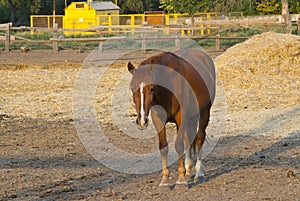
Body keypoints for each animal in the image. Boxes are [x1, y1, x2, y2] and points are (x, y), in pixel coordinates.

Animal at [127, 48, 216, 187]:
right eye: (132, 88)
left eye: (152, 88)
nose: (141, 121)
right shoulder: (158, 119)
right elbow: (163, 147)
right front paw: (164, 180)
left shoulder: (181, 117)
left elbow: (179, 145)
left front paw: (180, 179)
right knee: (189, 138)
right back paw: (188, 170)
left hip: (204, 111)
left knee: (199, 138)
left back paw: (198, 172)